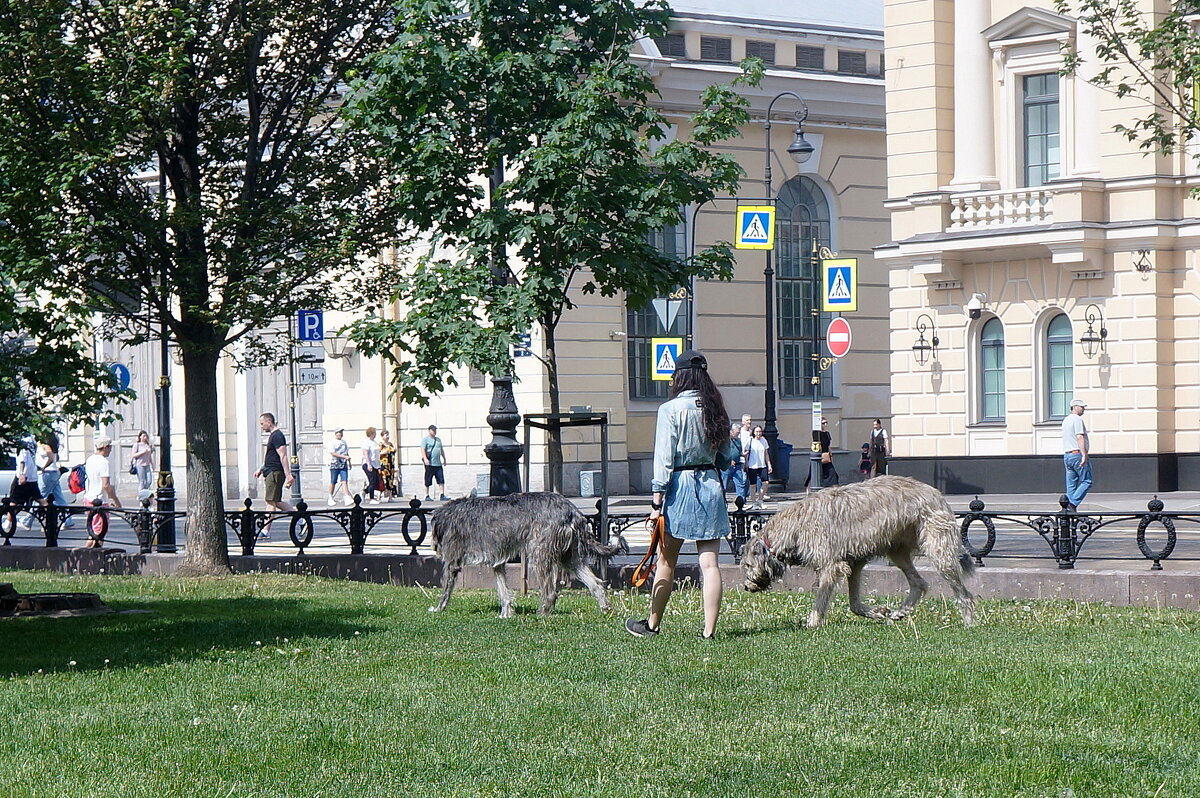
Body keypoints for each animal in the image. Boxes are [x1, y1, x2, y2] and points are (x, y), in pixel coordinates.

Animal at [429, 492, 628, 614]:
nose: (435, 548)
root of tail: (573, 511)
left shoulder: (452, 562)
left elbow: (446, 589)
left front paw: (438, 609)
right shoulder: (497, 563)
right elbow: (503, 590)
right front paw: (506, 613)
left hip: (539, 554)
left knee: (550, 592)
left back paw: (542, 613)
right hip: (570, 558)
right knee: (596, 584)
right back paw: (605, 609)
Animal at [739, 472, 974, 628]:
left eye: (748, 565)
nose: (746, 587)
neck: (793, 527)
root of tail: (938, 494)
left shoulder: (831, 564)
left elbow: (821, 597)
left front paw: (813, 622)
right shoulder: (854, 563)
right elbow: (854, 604)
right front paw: (878, 612)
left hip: (938, 548)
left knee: (963, 591)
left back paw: (969, 620)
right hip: (897, 550)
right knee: (919, 582)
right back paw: (901, 612)